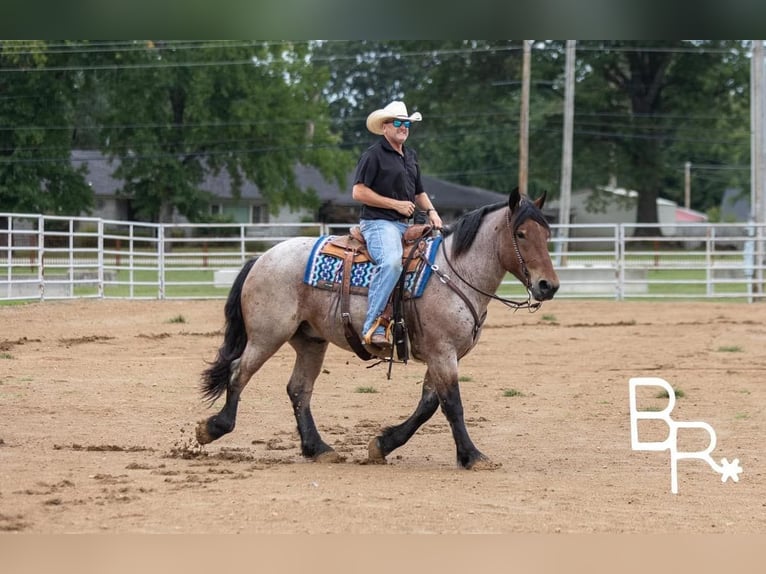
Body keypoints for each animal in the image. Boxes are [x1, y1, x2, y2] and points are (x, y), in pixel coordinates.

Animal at [196, 188, 559, 469]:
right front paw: (472, 455)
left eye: (547, 234)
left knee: (298, 390)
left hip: (310, 341)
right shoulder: (443, 353)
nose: (548, 286)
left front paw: (383, 444)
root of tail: (260, 258)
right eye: (521, 234)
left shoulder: (442, 355)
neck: (454, 272)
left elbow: (428, 405)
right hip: (267, 335)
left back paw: (318, 449)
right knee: (239, 372)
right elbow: (452, 404)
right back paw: (213, 428)